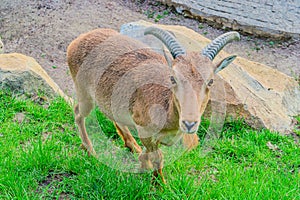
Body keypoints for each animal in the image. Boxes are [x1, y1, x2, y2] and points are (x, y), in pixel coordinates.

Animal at [67, 26, 240, 183]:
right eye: (173, 78)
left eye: (210, 81)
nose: (189, 123)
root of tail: (77, 41)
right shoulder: (145, 130)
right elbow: (158, 157)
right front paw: (160, 185)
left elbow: (149, 154)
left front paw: (142, 166)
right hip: (84, 93)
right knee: (78, 113)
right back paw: (90, 150)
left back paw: (132, 146)